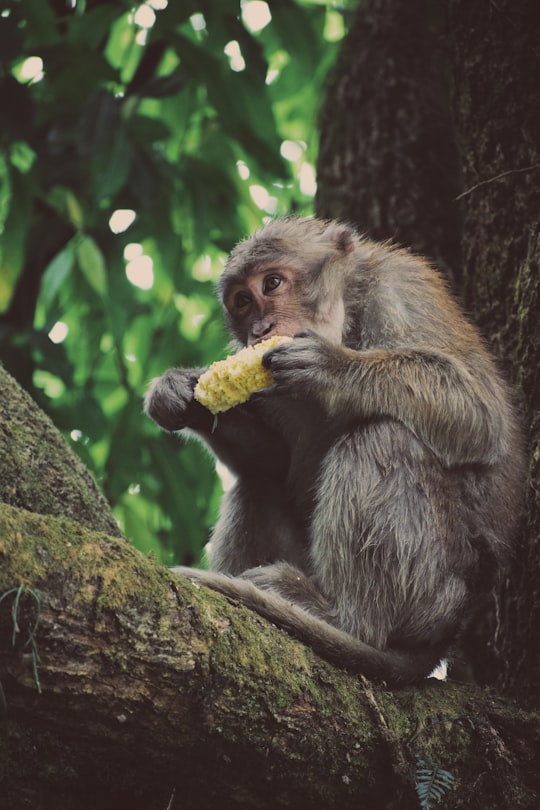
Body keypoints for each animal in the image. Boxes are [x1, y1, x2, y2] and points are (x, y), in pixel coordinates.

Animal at [144, 215, 524, 680]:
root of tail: (446, 636)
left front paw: (332, 366)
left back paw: (345, 621)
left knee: (382, 436)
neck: (348, 317)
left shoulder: (399, 290)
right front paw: (180, 395)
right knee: (258, 482)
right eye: (242, 302)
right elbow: (273, 459)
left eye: (272, 283)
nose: (259, 331)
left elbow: (479, 412)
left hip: (437, 593)